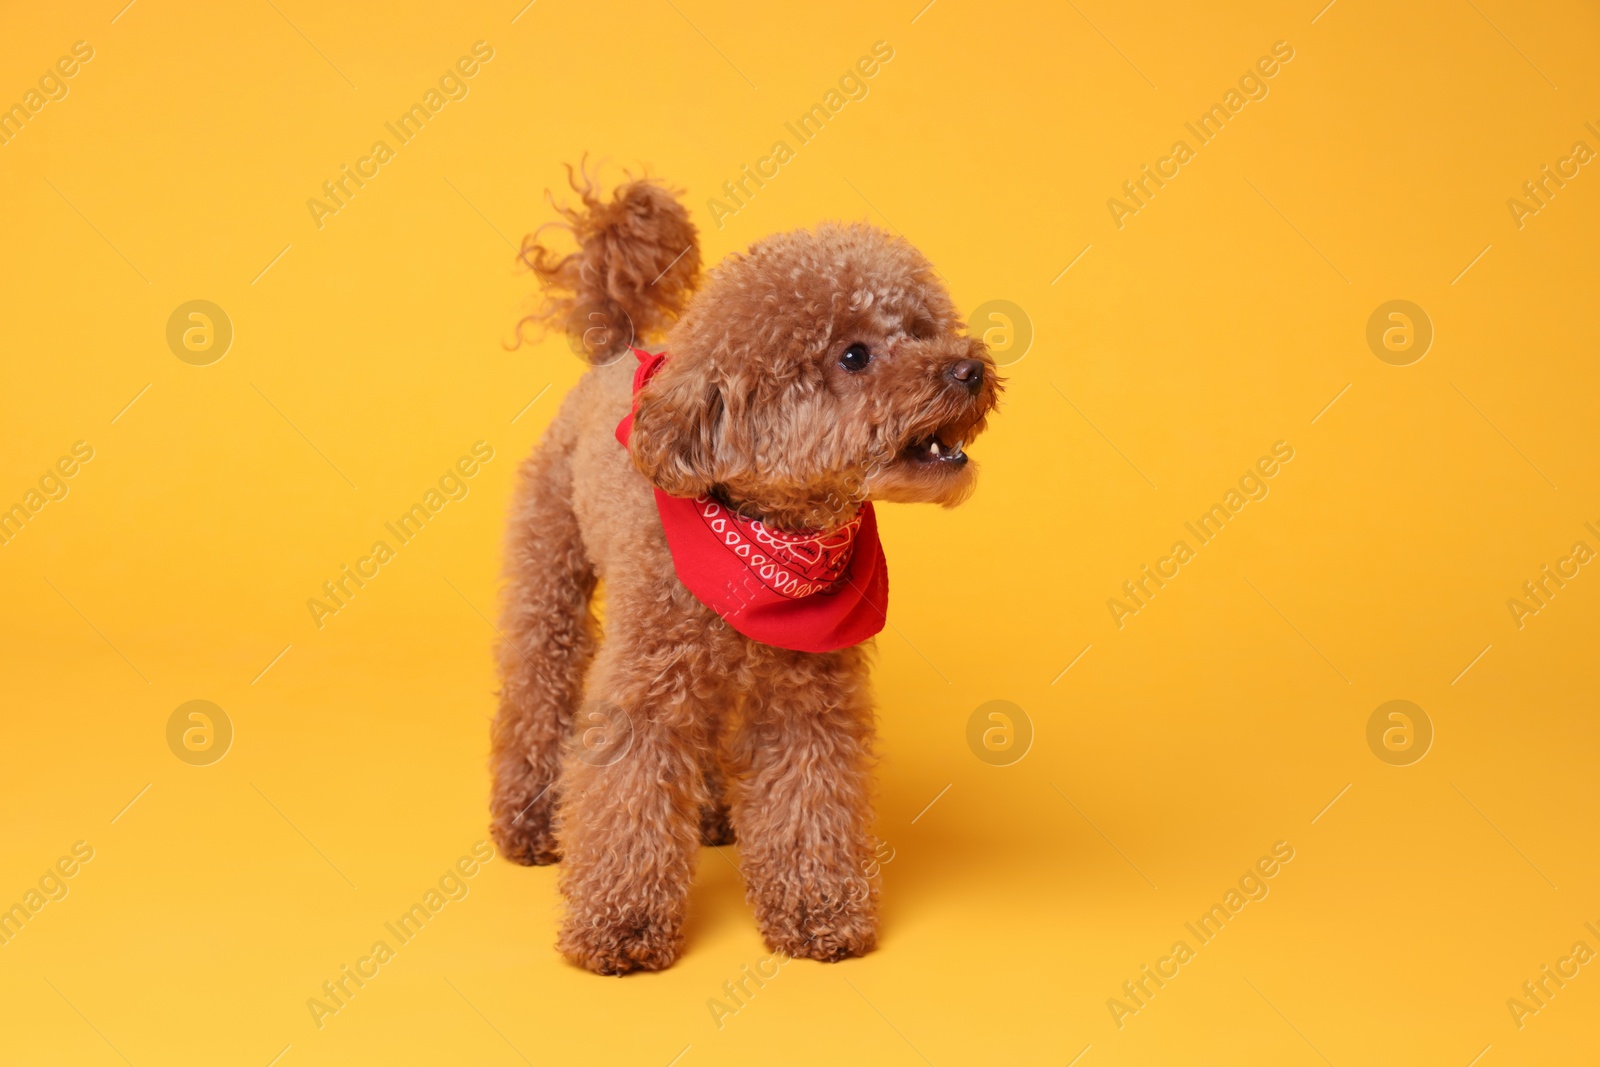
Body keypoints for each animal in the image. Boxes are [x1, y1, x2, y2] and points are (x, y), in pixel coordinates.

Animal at [483, 168, 998, 979]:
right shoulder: (645, 692)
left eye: (922, 327)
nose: (970, 369)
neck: (767, 540)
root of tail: (619, 353)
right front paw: (620, 924)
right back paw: (532, 820)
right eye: (854, 356)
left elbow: (807, 801)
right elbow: (628, 794)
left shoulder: (806, 700)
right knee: (538, 687)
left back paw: (713, 813)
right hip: (549, 576)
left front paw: (818, 912)